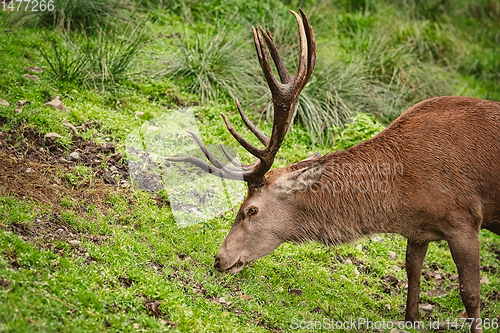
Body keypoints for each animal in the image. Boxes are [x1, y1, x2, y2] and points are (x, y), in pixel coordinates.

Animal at [168, 8, 500, 332]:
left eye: (250, 210)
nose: (219, 259)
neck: (403, 193)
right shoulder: (418, 231)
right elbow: (412, 281)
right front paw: (412, 318)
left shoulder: (464, 218)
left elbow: (471, 294)